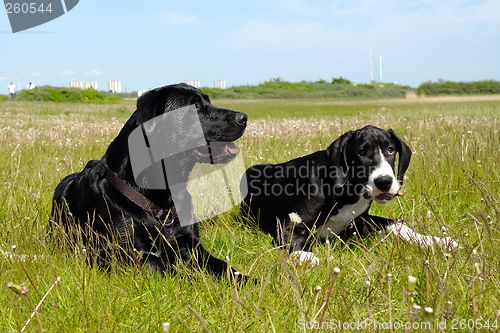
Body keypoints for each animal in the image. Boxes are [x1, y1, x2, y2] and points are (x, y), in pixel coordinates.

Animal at [50, 81, 250, 278]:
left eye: (209, 101)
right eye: (195, 106)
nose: (244, 117)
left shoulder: (191, 243)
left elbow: (225, 267)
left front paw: (249, 280)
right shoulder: (111, 252)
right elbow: (162, 266)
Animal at [241, 124, 458, 264]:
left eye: (390, 150)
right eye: (361, 152)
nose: (384, 182)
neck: (347, 193)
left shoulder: (361, 220)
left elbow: (397, 225)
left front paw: (435, 241)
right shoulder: (289, 226)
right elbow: (294, 242)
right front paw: (305, 256)